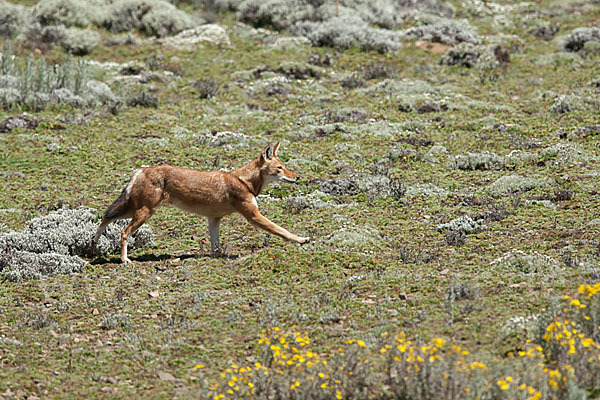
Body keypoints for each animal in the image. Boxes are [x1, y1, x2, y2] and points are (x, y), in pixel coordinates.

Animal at [95, 142, 310, 264]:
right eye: (280, 168)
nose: (297, 177)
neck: (245, 181)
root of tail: (142, 169)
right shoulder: (253, 216)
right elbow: (281, 230)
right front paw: (301, 240)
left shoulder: (214, 219)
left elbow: (215, 245)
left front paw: (217, 256)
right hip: (144, 213)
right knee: (122, 231)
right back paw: (124, 259)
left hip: (134, 211)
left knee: (104, 218)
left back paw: (94, 243)